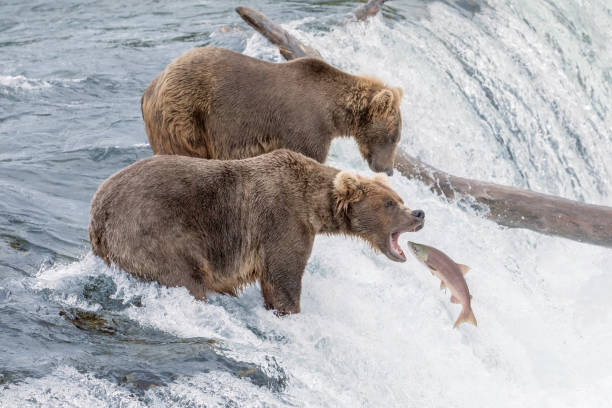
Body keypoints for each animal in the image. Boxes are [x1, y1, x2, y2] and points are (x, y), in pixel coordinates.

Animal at [89, 150, 426, 316]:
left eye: (399, 198)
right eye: (390, 203)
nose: (419, 214)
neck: (313, 205)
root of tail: (97, 212)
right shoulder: (282, 222)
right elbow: (283, 277)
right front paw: (288, 310)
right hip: (154, 233)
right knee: (186, 278)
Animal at [141, 46, 404, 177]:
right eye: (394, 138)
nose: (388, 169)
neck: (333, 113)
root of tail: (150, 87)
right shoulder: (306, 127)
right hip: (185, 114)